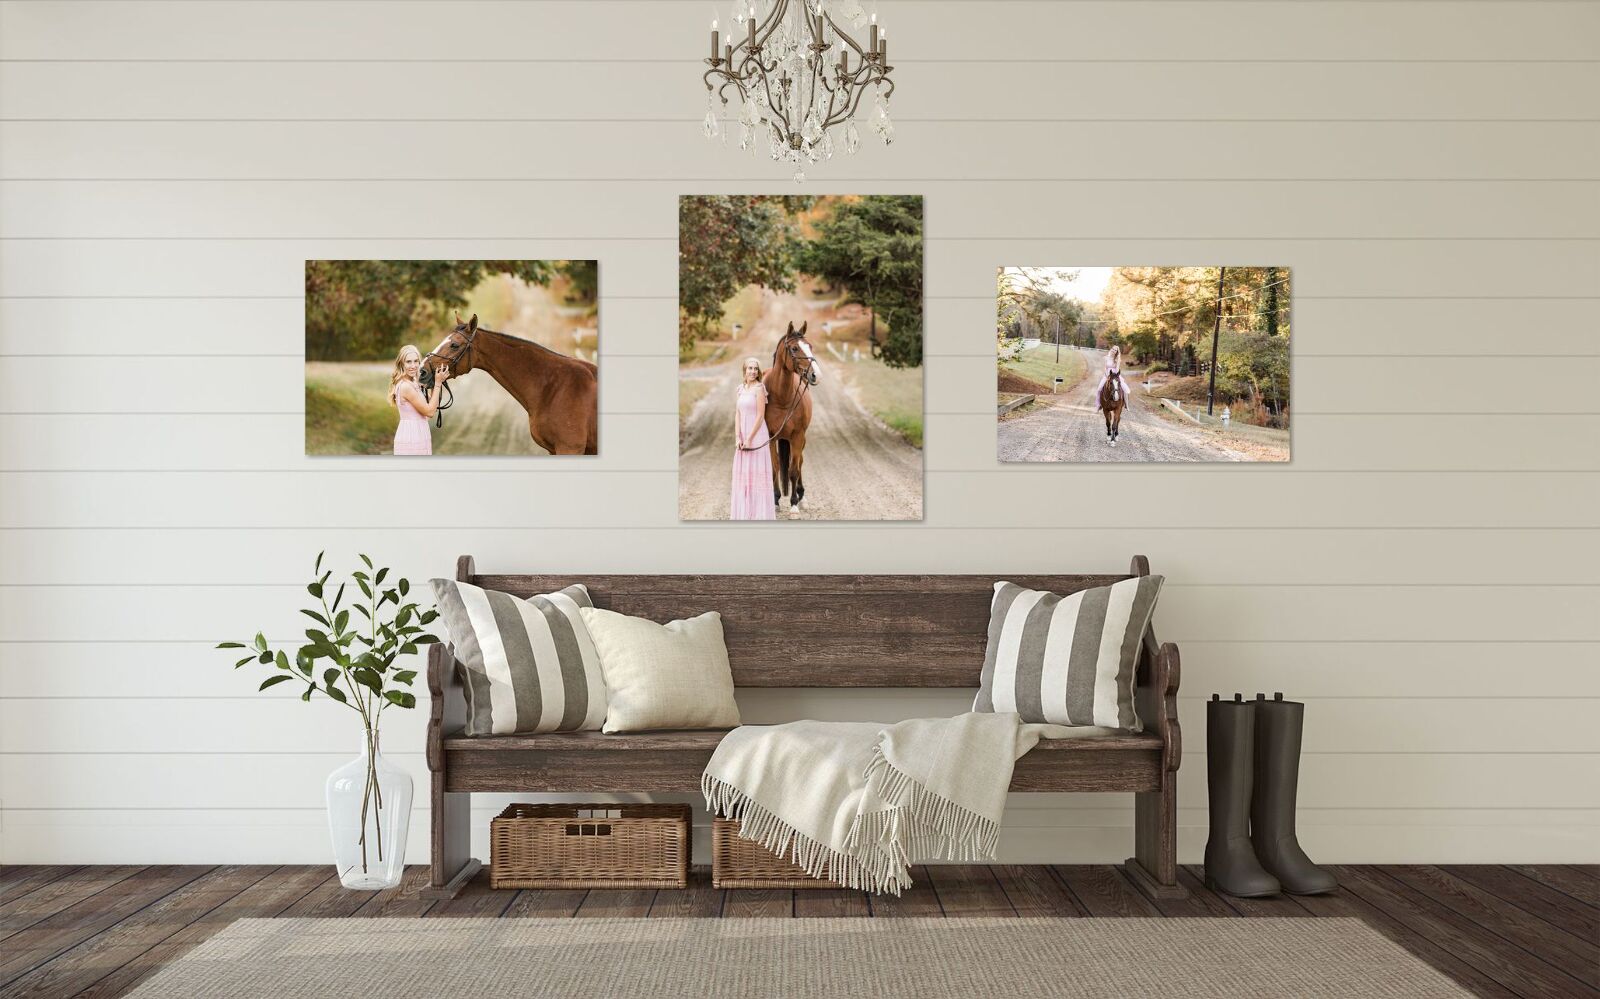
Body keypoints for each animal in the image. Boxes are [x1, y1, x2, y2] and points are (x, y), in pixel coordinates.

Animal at [758, 321, 812, 521]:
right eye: (795, 348)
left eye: (810, 346)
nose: (814, 374)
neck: (782, 397)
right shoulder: (771, 437)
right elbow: (774, 467)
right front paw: (775, 500)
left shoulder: (797, 436)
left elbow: (793, 470)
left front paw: (794, 505)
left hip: (801, 440)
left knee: (799, 462)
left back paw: (802, 497)